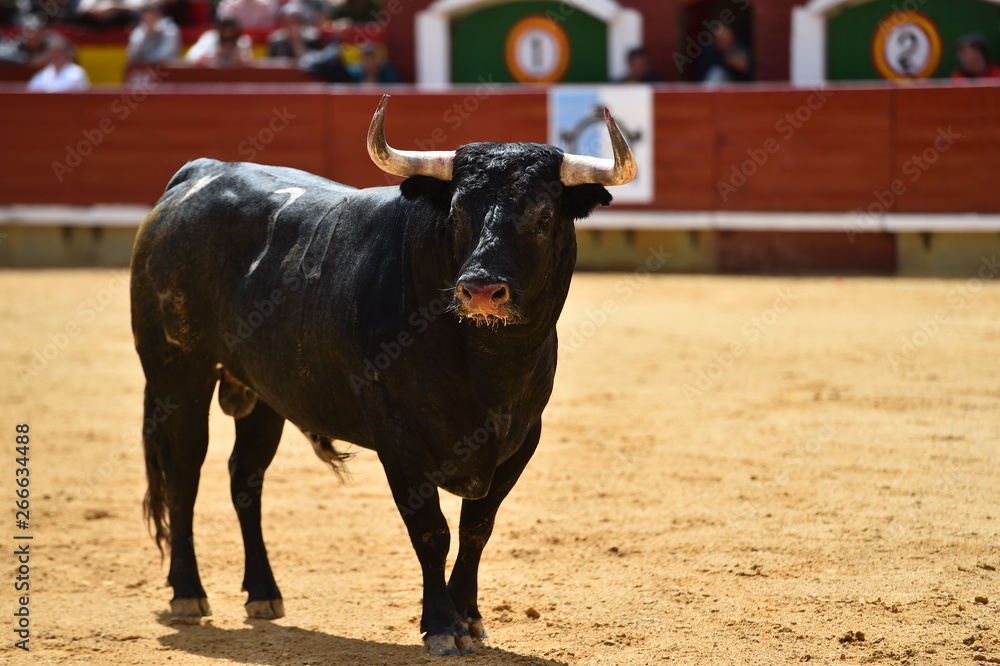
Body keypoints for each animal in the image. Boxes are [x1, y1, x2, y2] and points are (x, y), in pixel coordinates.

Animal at [131, 94, 632, 652]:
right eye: (457, 211)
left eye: (543, 216)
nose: (481, 289)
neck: (488, 367)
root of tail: (200, 173)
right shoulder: (399, 439)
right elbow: (432, 532)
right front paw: (442, 627)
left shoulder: (522, 439)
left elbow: (477, 528)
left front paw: (469, 618)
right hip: (178, 372)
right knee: (184, 473)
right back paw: (188, 593)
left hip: (263, 394)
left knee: (246, 476)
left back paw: (263, 593)